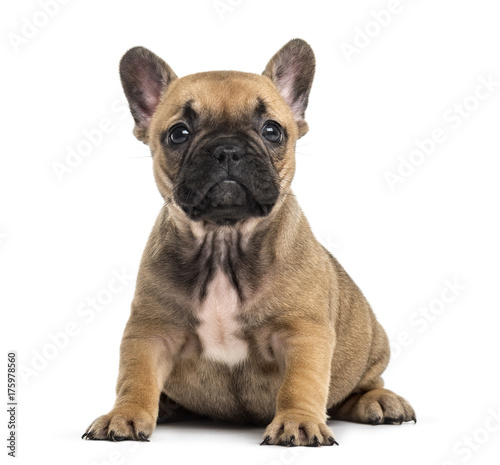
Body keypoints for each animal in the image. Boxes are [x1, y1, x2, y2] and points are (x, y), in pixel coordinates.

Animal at [84, 38, 416, 444]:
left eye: (272, 130)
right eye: (178, 133)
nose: (228, 149)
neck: (223, 241)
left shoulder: (303, 333)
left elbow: (301, 383)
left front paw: (298, 422)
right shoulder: (150, 331)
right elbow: (136, 377)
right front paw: (125, 414)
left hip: (371, 345)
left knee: (359, 386)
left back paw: (379, 401)